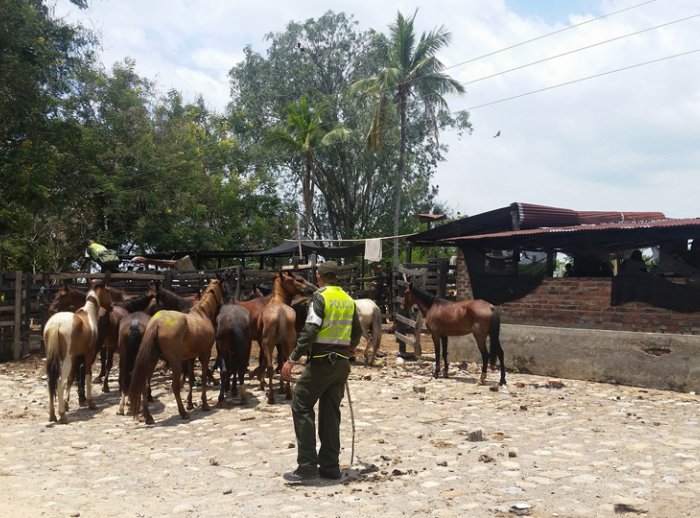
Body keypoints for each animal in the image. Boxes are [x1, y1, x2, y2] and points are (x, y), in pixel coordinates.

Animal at [44, 280, 113, 422]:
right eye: (108, 291)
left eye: (61, 295)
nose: (112, 306)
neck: (89, 314)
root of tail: (55, 325)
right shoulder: (89, 354)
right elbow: (87, 375)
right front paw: (90, 402)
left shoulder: (76, 356)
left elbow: (72, 378)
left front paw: (67, 403)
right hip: (65, 360)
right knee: (60, 381)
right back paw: (62, 415)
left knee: (50, 381)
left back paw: (52, 415)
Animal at [128, 278, 221, 424]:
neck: (202, 314)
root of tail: (156, 322)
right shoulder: (204, 354)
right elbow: (204, 377)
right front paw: (204, 404)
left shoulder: (190, 357)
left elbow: (191, 379)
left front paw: (190, 403)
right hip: (175, 362)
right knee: (175, 386)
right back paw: (182, 413)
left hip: (152, 361)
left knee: (144, 384)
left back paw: (148, 416)